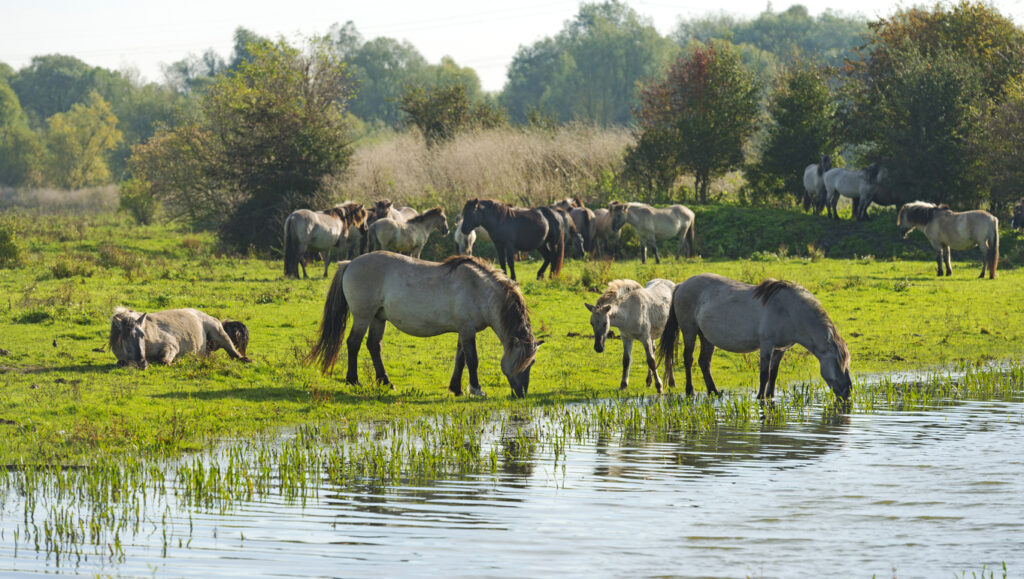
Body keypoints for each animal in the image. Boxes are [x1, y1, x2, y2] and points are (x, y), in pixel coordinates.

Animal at [109, 307, 251, 369]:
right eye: (126, 339)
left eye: (142, 335)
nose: (141, 363)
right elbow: (120, 362)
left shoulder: (171, 346)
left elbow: (164, 361)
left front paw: (178, 361)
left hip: (219, 333)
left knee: (235, 354)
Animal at [307, 253, 541, 398]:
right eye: (525, 362)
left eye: (532, 363)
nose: (521, 394)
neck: (479, 288)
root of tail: (350, 263)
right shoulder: (467, 329)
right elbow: (472, 360)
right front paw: (476, 389)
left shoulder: (463, 330)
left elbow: (460, 359)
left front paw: (456, 389)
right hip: (363, 317)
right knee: (353, 344)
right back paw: (353, 380)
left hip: (378, 318)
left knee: (374, 346)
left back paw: (385, 382)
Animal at [658, 273, 852, 400]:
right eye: (837, 362)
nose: (848, 392)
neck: (789, 310)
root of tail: (681, 285)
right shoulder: (766, 345)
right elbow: (764, 374)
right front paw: (760, 397)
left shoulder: (780, 349)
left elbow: (773, 373)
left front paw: (771, 396)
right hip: (689, 331)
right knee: (688, 359)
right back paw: (690, 391)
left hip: (706, 337)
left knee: (704, 362)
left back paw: (714, 391)